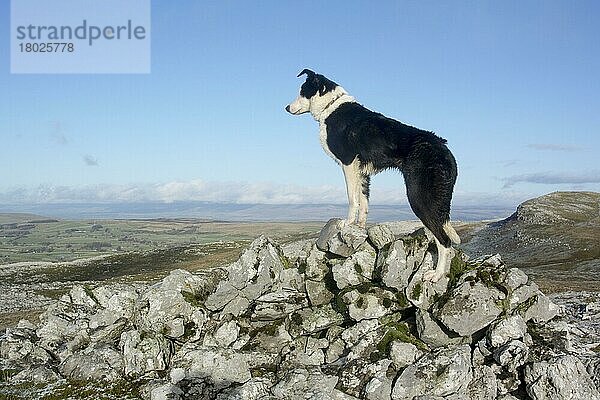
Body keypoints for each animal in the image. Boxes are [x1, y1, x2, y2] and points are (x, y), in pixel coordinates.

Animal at [286, 69, 460, 282]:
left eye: (302, 91)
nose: (286, 108)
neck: (331, 107)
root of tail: (444, 149)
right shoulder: (362, 172)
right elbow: (364, 201)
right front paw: (359, 226)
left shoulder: (348, 164)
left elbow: (352, 199)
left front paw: (348, 223)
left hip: (419, 198)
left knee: (444, 240)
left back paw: (436, 274)